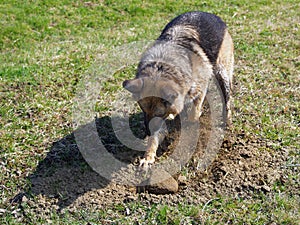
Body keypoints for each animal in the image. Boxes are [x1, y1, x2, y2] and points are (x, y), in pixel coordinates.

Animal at [122, 11, 234, 168]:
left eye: (159, 113)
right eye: (143, 110)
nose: (148, 132)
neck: (161, 67)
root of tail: (209, 14)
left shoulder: (200, 86)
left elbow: (194, 113)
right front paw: (148, 156)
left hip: (222, 73)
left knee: (227, 100)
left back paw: (227, 121)